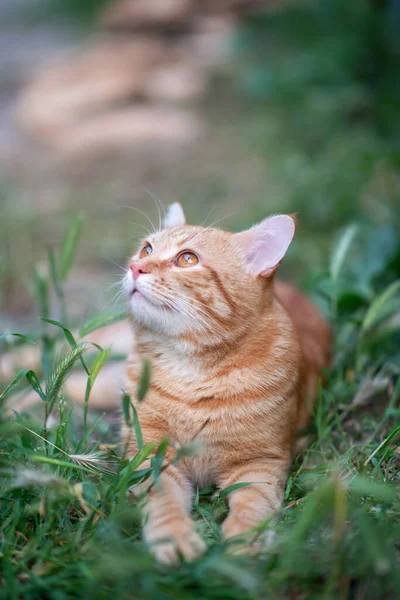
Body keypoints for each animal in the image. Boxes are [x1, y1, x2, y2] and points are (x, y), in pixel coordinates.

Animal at [121, 204, 332, 564]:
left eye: (187, 259)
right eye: (147, 249)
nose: (136, 266)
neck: (192, 373)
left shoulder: (260, 462)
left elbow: (254, 502)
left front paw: (246, 537)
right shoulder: (149, 451)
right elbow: (163, 498)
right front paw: (173, 535)